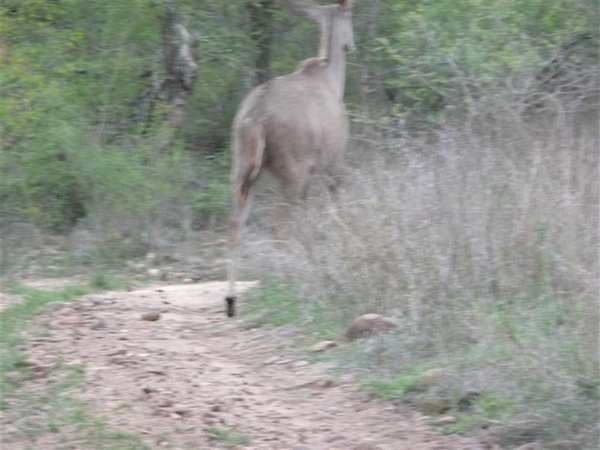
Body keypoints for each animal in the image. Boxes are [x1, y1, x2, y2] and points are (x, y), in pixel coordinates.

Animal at [226, 0, 356, 318]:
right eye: (351, 13)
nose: (351, 45)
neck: (332, 79)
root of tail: (254, 117)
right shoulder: (334, 160)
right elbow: (338, 209)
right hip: (292, 169)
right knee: (277, 225)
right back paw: (288, 278)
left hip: (242, 169)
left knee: (235, 223)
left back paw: (232, 299)